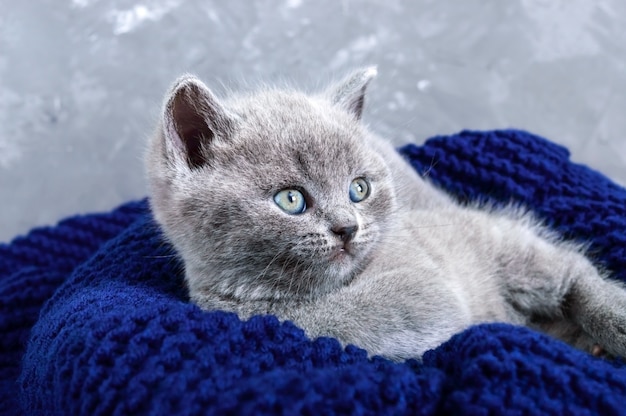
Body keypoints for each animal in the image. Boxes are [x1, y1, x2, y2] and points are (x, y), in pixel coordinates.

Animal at [145, 68, 624, 360]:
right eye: (291, 200)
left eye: (359, 189)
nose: (347, 228)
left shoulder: (420, 284)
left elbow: (328, 321)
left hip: (507, 251)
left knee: (571, 270)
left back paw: (612, 323)